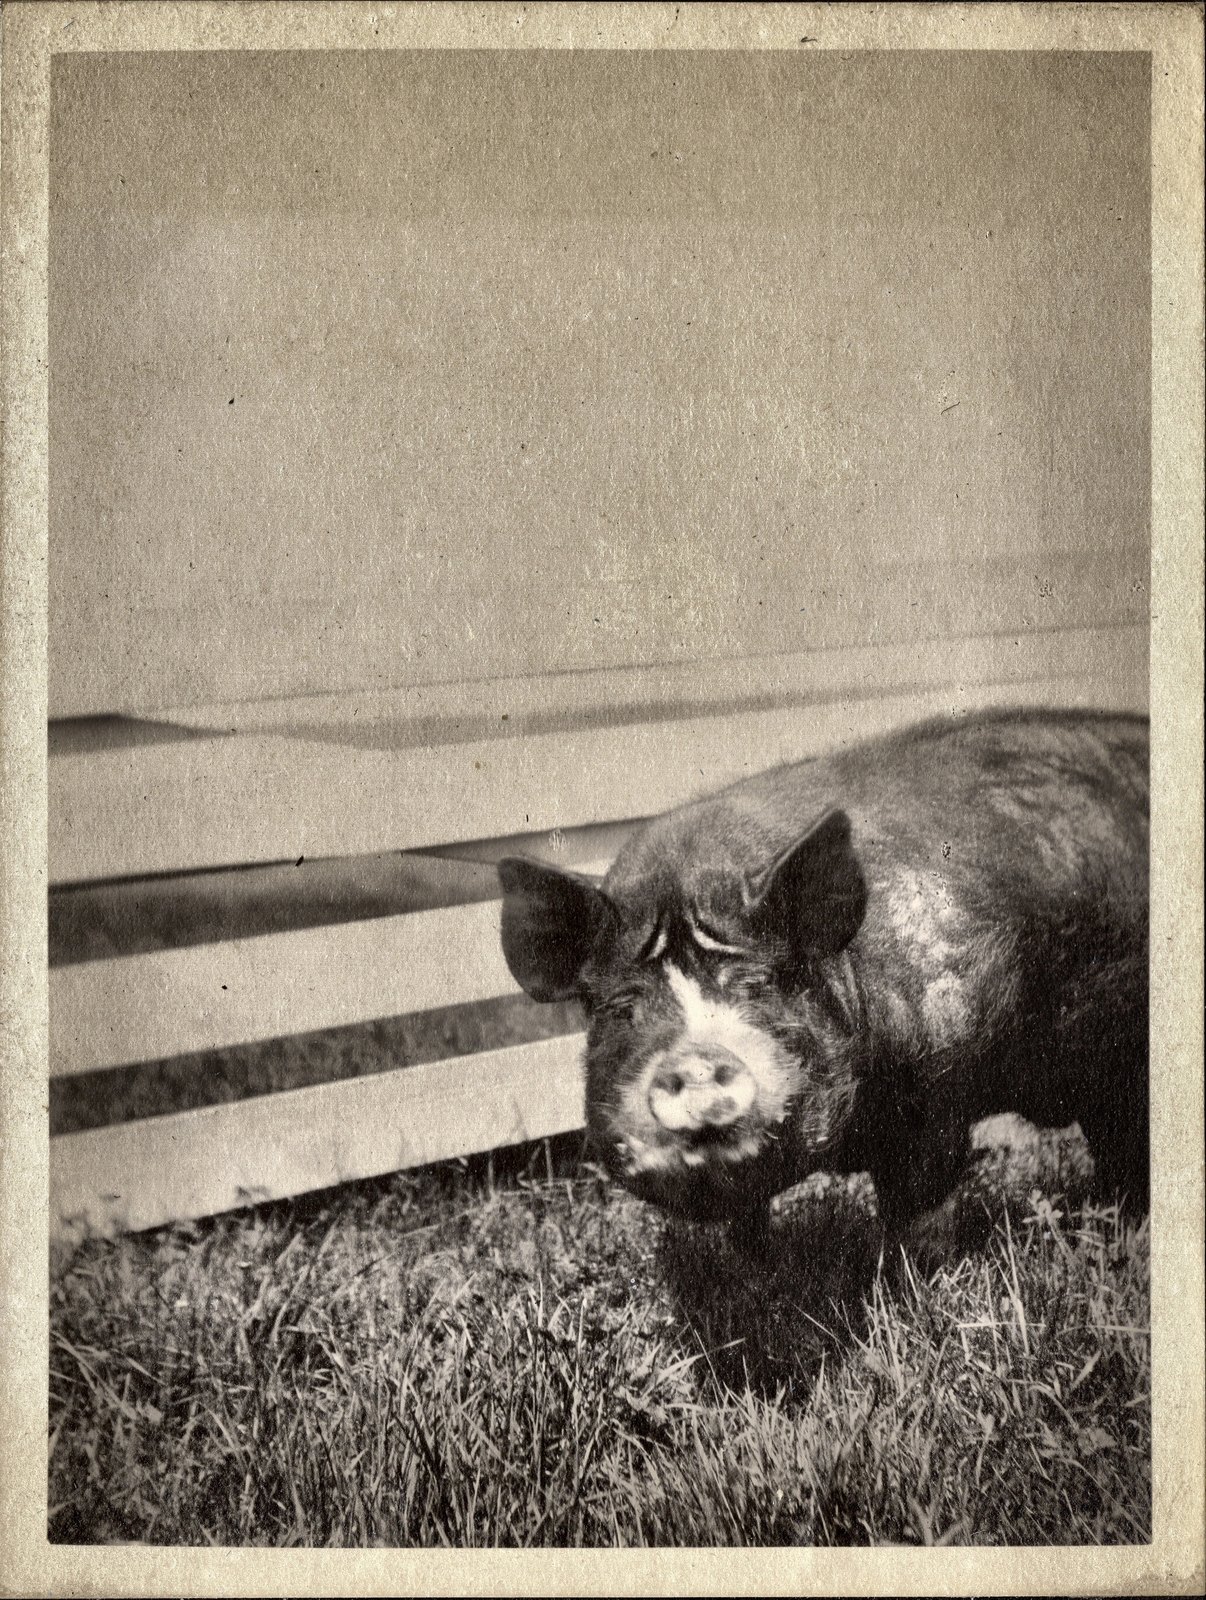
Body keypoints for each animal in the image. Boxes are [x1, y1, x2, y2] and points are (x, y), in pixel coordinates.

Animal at [498, 708, 1149, 1250]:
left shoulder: (935, 1092)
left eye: (759, 986)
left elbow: (920, 1211)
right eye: (620, 1009)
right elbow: (743, 1231)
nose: (696, 1060)